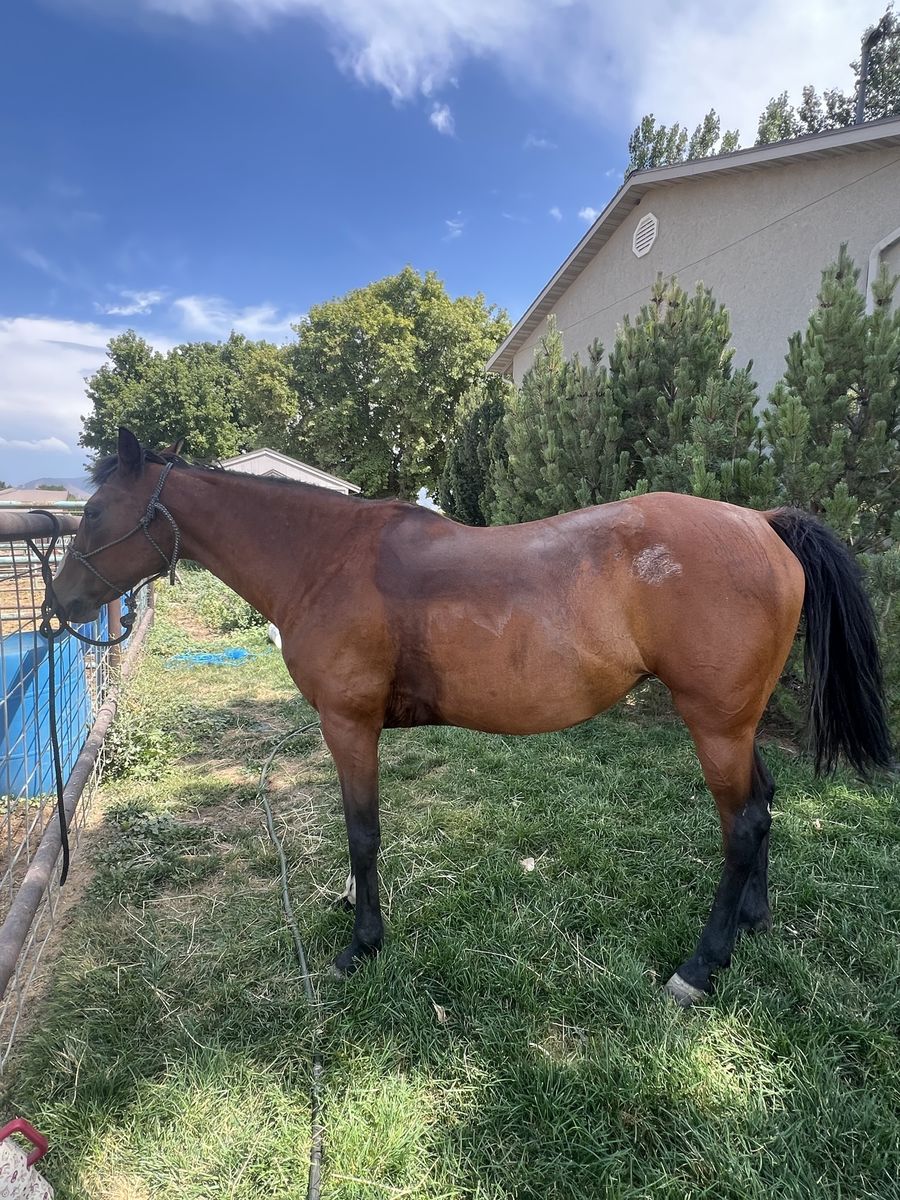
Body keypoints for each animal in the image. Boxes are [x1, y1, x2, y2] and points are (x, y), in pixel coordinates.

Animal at [49, 428, 893, 1005]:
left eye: (92, 511)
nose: (60, 603)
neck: (324, 558)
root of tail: (763, 521)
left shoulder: (348, 725)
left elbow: (363, 832)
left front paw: (363, 944)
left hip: (714, 724)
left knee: (742, 823)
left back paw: (700, 967)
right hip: (735, 724)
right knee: (763, 806)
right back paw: (751, 922)